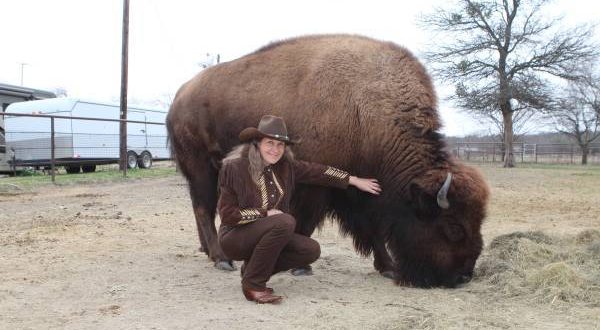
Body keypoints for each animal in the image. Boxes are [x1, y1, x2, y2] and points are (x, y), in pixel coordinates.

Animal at [166, 32, 490, 286]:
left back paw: (208, 251)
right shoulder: (317, 187)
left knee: (203, 208)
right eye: (453, 227)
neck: (366, 110)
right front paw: (301, 266)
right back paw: (221, 259)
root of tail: (179, 98)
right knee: (204, 208)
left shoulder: (360, 190)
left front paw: (387, 267)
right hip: (200, 167)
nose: (464, 275)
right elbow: (307, 223)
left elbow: (372, 229)